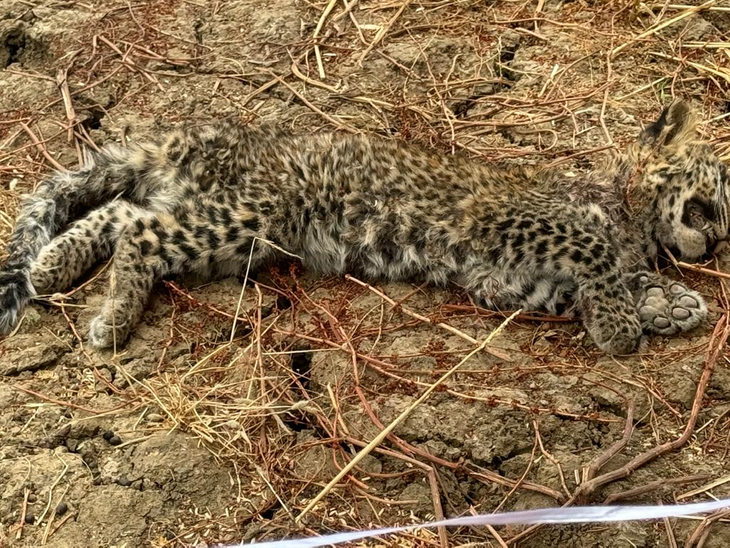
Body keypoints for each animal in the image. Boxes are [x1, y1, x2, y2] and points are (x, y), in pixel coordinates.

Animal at [0, 99, 726, 354]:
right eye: (715, 201)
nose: (717, 243)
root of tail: (208, 137)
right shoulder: (507, 220)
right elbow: (594, 249)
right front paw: (627, 325)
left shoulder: (508, 282)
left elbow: (604, 280)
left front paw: (669, 304)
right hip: (253, 216)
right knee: (139, 233)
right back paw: (113, 320)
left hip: (217, 218)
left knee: (123, 212)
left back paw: (53, 265)